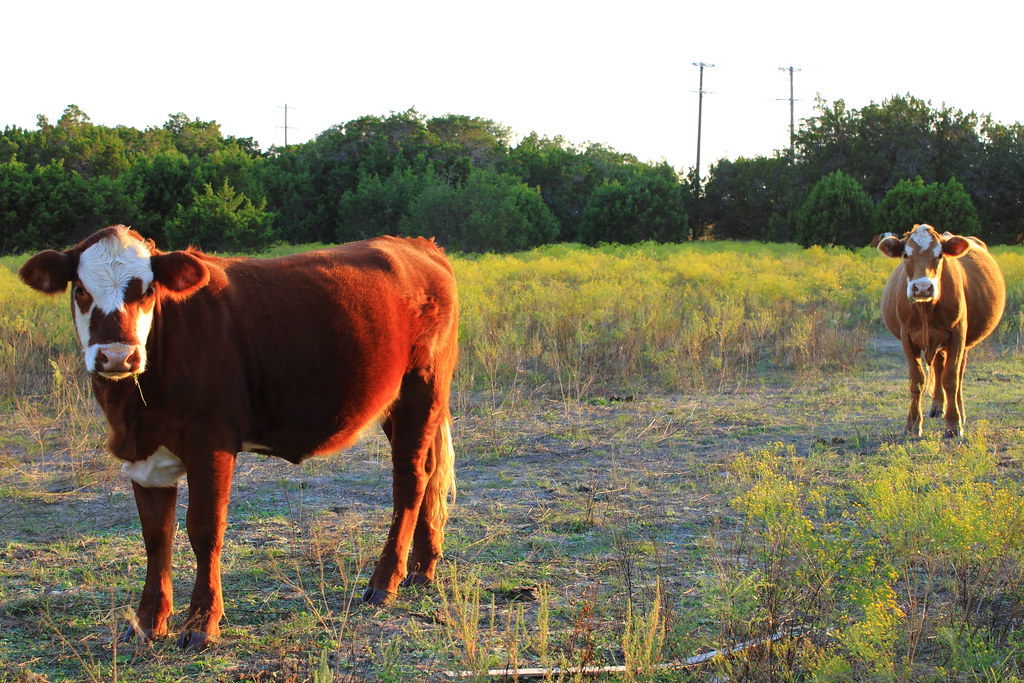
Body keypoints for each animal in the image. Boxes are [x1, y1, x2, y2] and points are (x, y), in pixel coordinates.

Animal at [19, 226, 459, 649]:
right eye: (81, 289)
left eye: (146, 290)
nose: (116, 356)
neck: (134, 409)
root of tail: (418, 245)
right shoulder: (144, 457)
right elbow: (156, 537)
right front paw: (146, 623)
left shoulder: (211, 443)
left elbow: (204, 530)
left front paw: (201, 624)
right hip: (397, 403)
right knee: (428, 471)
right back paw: (422, 568)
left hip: (422, 387)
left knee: (410, 481)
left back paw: (385, 582)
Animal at [877, 224, 1005, 437]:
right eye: (905, 254)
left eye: (939, 255)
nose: (922, 287)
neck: (926, 309)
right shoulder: (906, 337)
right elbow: (917, 380)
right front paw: (912, 425)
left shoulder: (957, 335)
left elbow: (951, 378)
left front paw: (953, 424)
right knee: (938, 365)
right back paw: (937, 407)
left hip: (962, 344)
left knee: (958, 374)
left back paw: (960, 412)